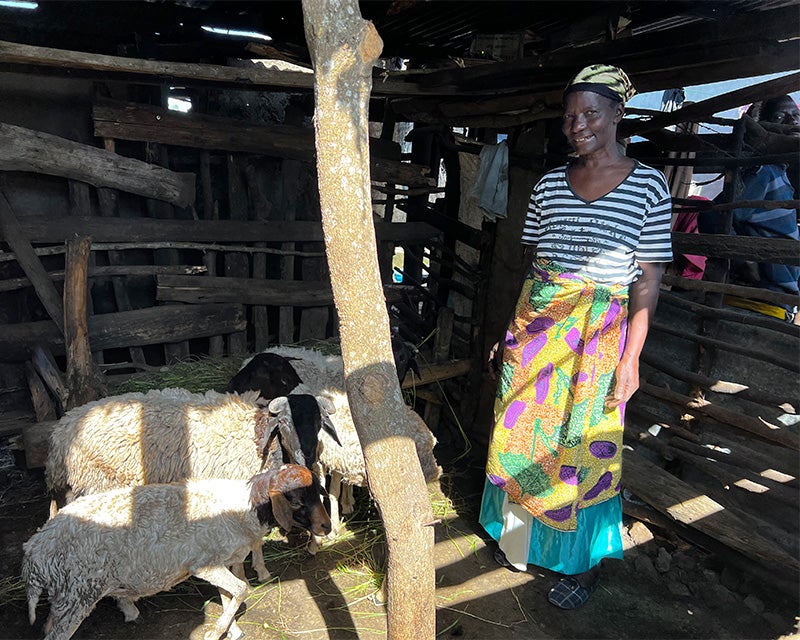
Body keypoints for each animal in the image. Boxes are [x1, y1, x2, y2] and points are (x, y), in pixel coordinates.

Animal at [21, 464, 330, 640]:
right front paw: (216, 631)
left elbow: (230, 594)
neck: (245, 509)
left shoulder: (221, 562)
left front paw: (231, 628)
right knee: (56, 635)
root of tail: (35, 549)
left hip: (65, 596)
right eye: (297, 499)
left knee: (49, 625)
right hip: (78, 595)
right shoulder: (204, 565)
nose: (326, 526)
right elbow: (241, 590)